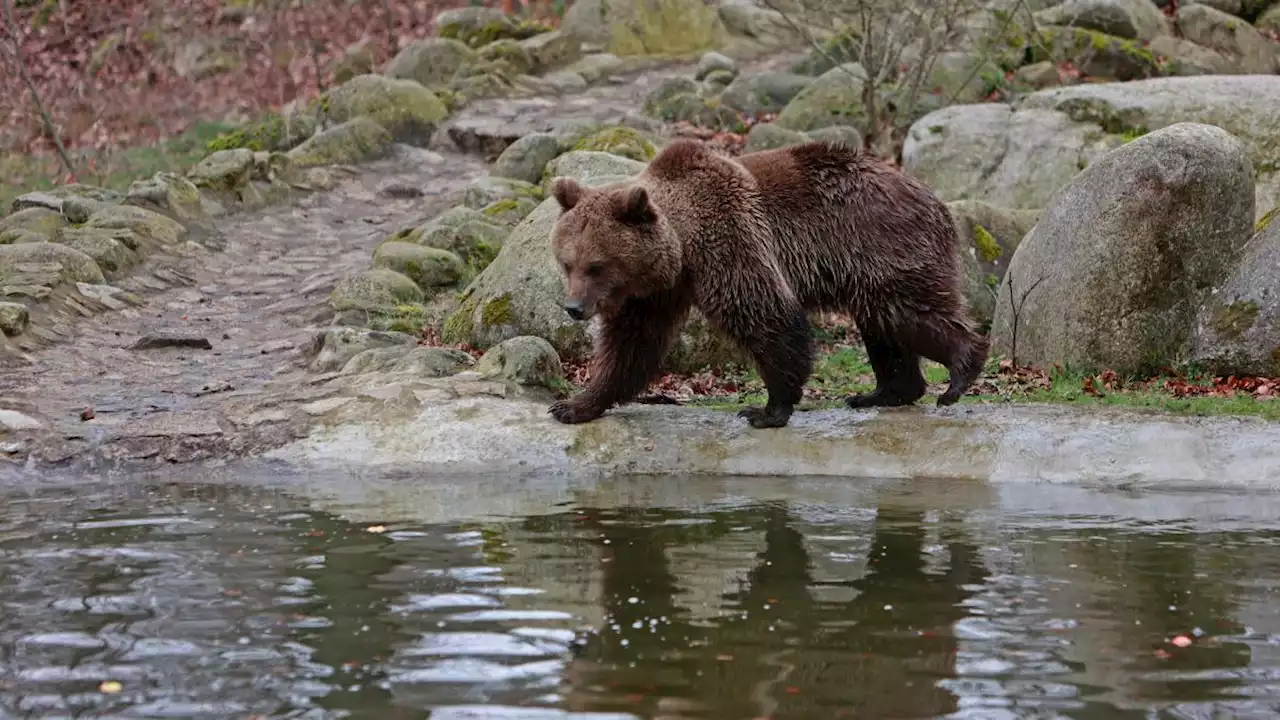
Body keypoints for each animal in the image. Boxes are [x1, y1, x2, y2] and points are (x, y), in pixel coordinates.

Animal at [545, 137, 983, 425]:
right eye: (567, 263)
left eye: (596, 265)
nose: (574, 308)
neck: (683, 249)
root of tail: (933, 198)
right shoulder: (654, 294)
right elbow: (631, 346)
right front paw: (574, 405)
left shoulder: (730, 239)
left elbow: (764, 314)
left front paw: (768, 408)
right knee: (883, 326)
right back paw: (882, 392)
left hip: (880, 244)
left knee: (907, 311)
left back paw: (961, 371)